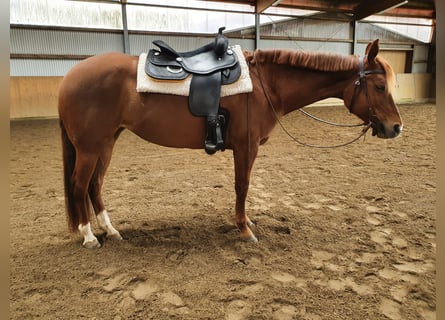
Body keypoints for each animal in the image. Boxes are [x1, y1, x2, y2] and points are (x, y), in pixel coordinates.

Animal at [57, 39, 400, 248]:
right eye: (379, 86)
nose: (395, 127)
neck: (266, 85)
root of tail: (70, 76)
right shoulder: (247, 147)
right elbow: (242, 186)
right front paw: (244, 229)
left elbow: (243, 187)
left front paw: (245, 221)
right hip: (89, 148)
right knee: (79, 185)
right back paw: (89, 236)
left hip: (106, 143)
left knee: (95, 185)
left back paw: (111, 231)